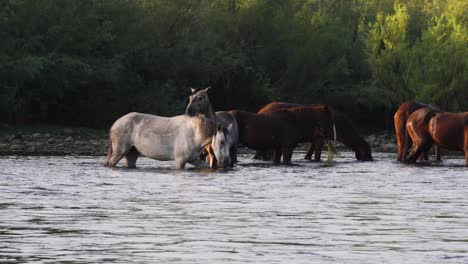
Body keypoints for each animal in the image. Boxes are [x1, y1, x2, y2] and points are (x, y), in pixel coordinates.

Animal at [104, 111, 232, 169]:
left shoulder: (194, 160)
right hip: (118, 152)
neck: (193, 133)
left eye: (229, 143)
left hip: (131, 154)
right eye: (222, 142)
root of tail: (116, 123)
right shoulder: (180, 161)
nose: (226, 162)